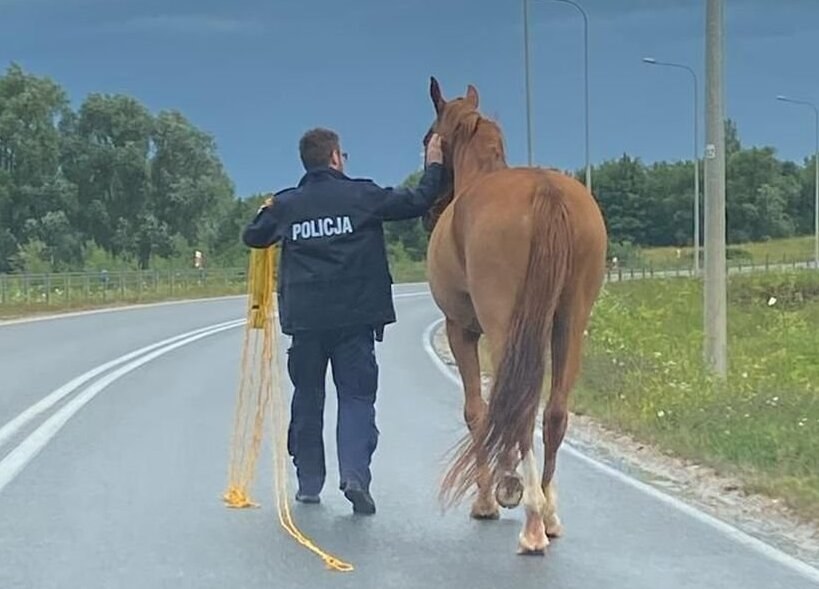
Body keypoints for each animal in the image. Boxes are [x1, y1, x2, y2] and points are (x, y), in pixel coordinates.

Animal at [422, 77, 608, 552]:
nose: (430, 209)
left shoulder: (462, 330)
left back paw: (531, 521)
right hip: (569, 324)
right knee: (554, 412)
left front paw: (492, 496)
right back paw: (550, 514)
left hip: (505, 325)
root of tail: (546, 192)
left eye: (428, 138)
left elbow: (478, 410)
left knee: (519, 408)